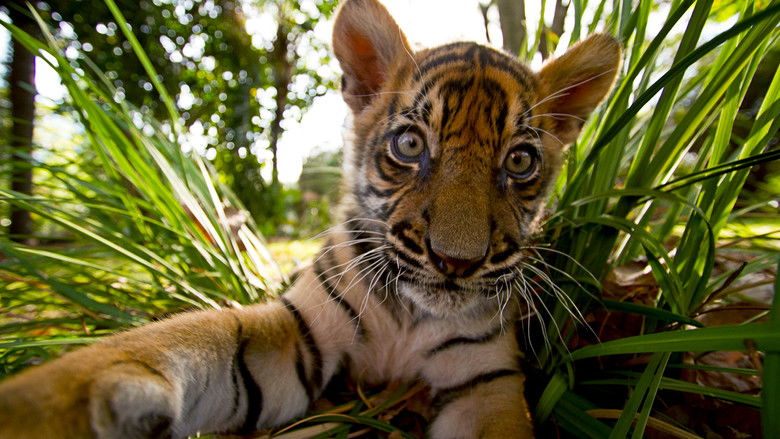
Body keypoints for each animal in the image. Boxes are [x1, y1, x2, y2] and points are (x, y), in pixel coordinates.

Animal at [0, 0, 621, 437]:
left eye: (519, 161)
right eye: (410, 145)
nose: (455, 261)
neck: (409, 319)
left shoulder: (484, 383)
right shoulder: (299, 333)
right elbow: (175, 340)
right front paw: (44, 408)